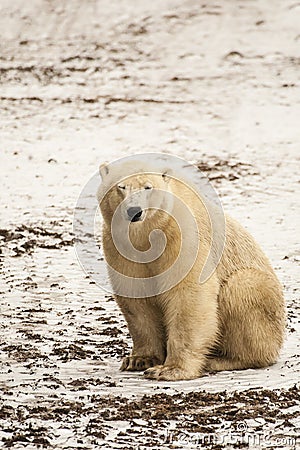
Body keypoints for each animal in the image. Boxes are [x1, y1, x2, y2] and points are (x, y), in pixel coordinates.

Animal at [97, 158, 284, 380]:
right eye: (121, 187)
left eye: (148, 187)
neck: (148, 236)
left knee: (243, 288)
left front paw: (170, 369)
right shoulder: (120, 248)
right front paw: (139, 359)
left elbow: (189, 295)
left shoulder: (184, 236)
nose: (134, 211)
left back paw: (221, 360)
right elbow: (136, 298)